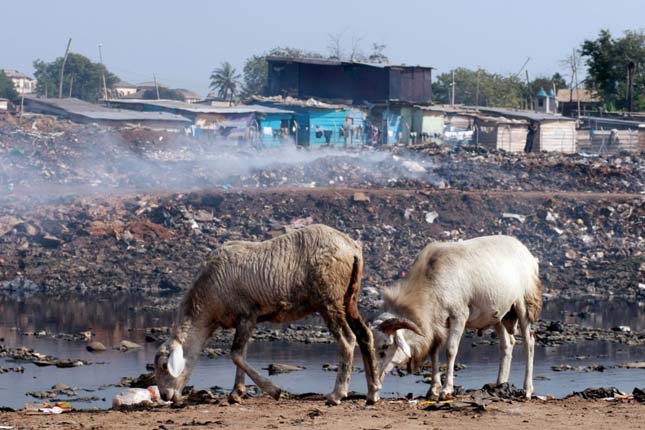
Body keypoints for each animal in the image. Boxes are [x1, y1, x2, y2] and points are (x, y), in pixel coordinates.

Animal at [154, 225, 380, 406]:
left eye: (165, 366)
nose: (164, 396)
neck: (206, 309)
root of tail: (352, 247)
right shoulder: (243, 320)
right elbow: (241, 353)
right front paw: (236, 393)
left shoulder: (247, 314)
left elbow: (236, 354)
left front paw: (273, 390)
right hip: (349, 297)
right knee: (365, 335)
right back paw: (373, 392)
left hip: (329, 298)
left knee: (347, 339)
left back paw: (337, 394)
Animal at [374, 237, 540, 398]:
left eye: (386, 346)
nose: (375, 379)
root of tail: (527, 252)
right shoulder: (436, 324)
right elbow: (433, 353)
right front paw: (433, 389)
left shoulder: (459, 315)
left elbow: (450, 350)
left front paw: (446, 390)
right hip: (499, 314)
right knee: (507, 344)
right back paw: (500, 385)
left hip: (524, 304)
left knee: (529, 342)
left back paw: (527, 390)